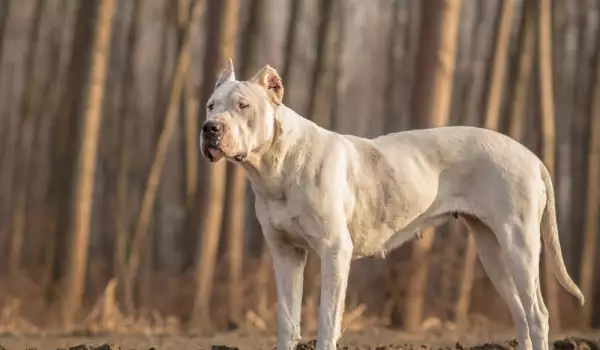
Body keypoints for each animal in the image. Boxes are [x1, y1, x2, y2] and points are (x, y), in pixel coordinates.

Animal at [199, 60, 584, 350]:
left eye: (243, 106)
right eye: (211, 105)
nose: (209, 128)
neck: (277, 166)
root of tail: (531, 156)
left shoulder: (334, 251)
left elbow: (327, 319)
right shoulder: (285, 254)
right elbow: (286, 322)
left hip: (519, 244)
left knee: (537, 314)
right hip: (492, 250)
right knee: (520, 313)